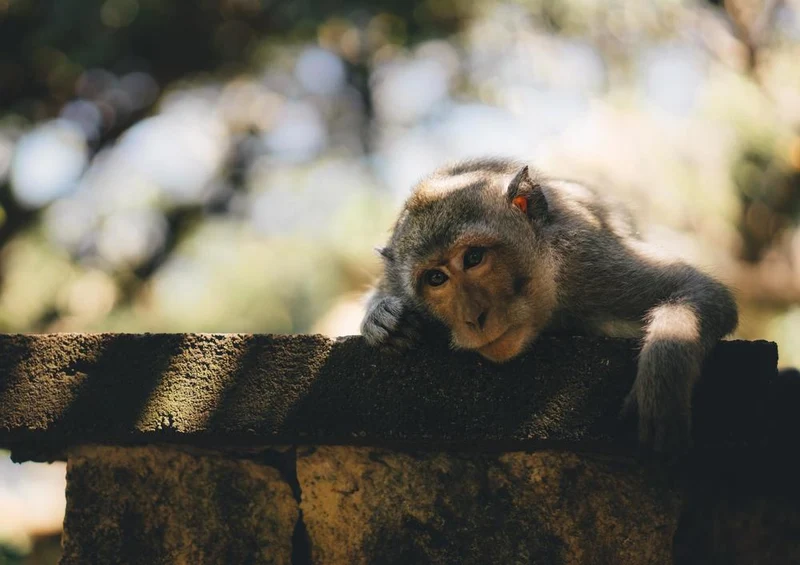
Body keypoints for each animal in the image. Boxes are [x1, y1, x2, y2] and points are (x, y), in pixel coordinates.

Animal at [361, 157, 738, 453]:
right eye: (436, 278)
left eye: (473, 257)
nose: (473, 318)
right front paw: (383, 320)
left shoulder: (584, 261)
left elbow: (698, 289)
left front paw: (662, 384)